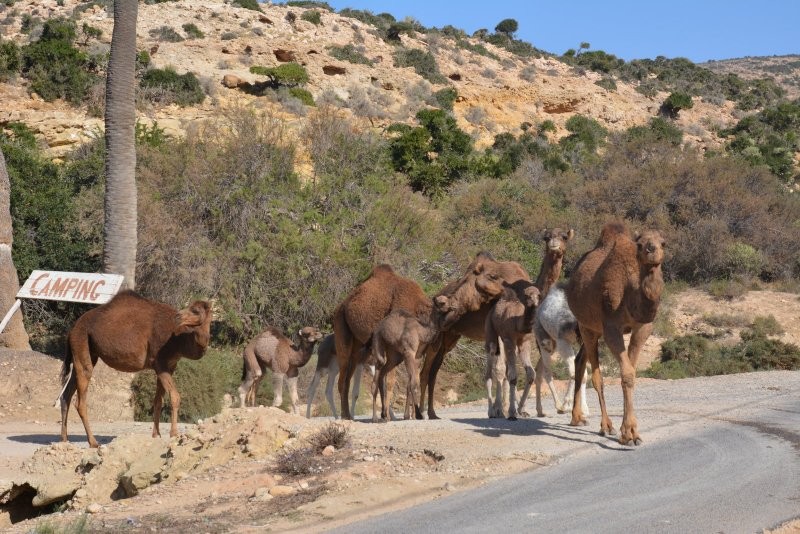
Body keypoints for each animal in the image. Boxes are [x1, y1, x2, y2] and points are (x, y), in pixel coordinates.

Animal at [59, 292, 212, 450]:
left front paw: (156, 435)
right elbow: (175, 396)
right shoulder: (161, 363)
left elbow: (158, 400)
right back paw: (93, 442)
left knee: (66, 394)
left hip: (87, 352)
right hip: (81, 340)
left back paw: (64, 439)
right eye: (192, 308)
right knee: (80, 399)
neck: (179, 340)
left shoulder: (168, 366)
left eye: (196, 310)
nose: (178, 316)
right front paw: (174, 433)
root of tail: (72, 329)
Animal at [484, 284, 540, 422]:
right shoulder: (509, 340)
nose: (535, 303)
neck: (518, 323)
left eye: (539, 295)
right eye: (527, 295)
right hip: (491, 332)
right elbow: (513, 376)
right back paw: (492, 412)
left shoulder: (524, 342)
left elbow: (531, 373)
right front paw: (512, 413)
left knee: (503, 370)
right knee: (490, 370)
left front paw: (521, 410)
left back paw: (500, 410)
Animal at [564, 223, 664, 448]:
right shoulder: (611, 327)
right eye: (639, 244)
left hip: (593, 329)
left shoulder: (642, 327)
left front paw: (629, 431)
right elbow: (626, 373)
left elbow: (631, 372)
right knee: (595, 376)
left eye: (664, 242)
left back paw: (577, 418)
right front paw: (630, 433)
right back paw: (605, 425)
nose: (651, 249)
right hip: (587, 326)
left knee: (580, 359)